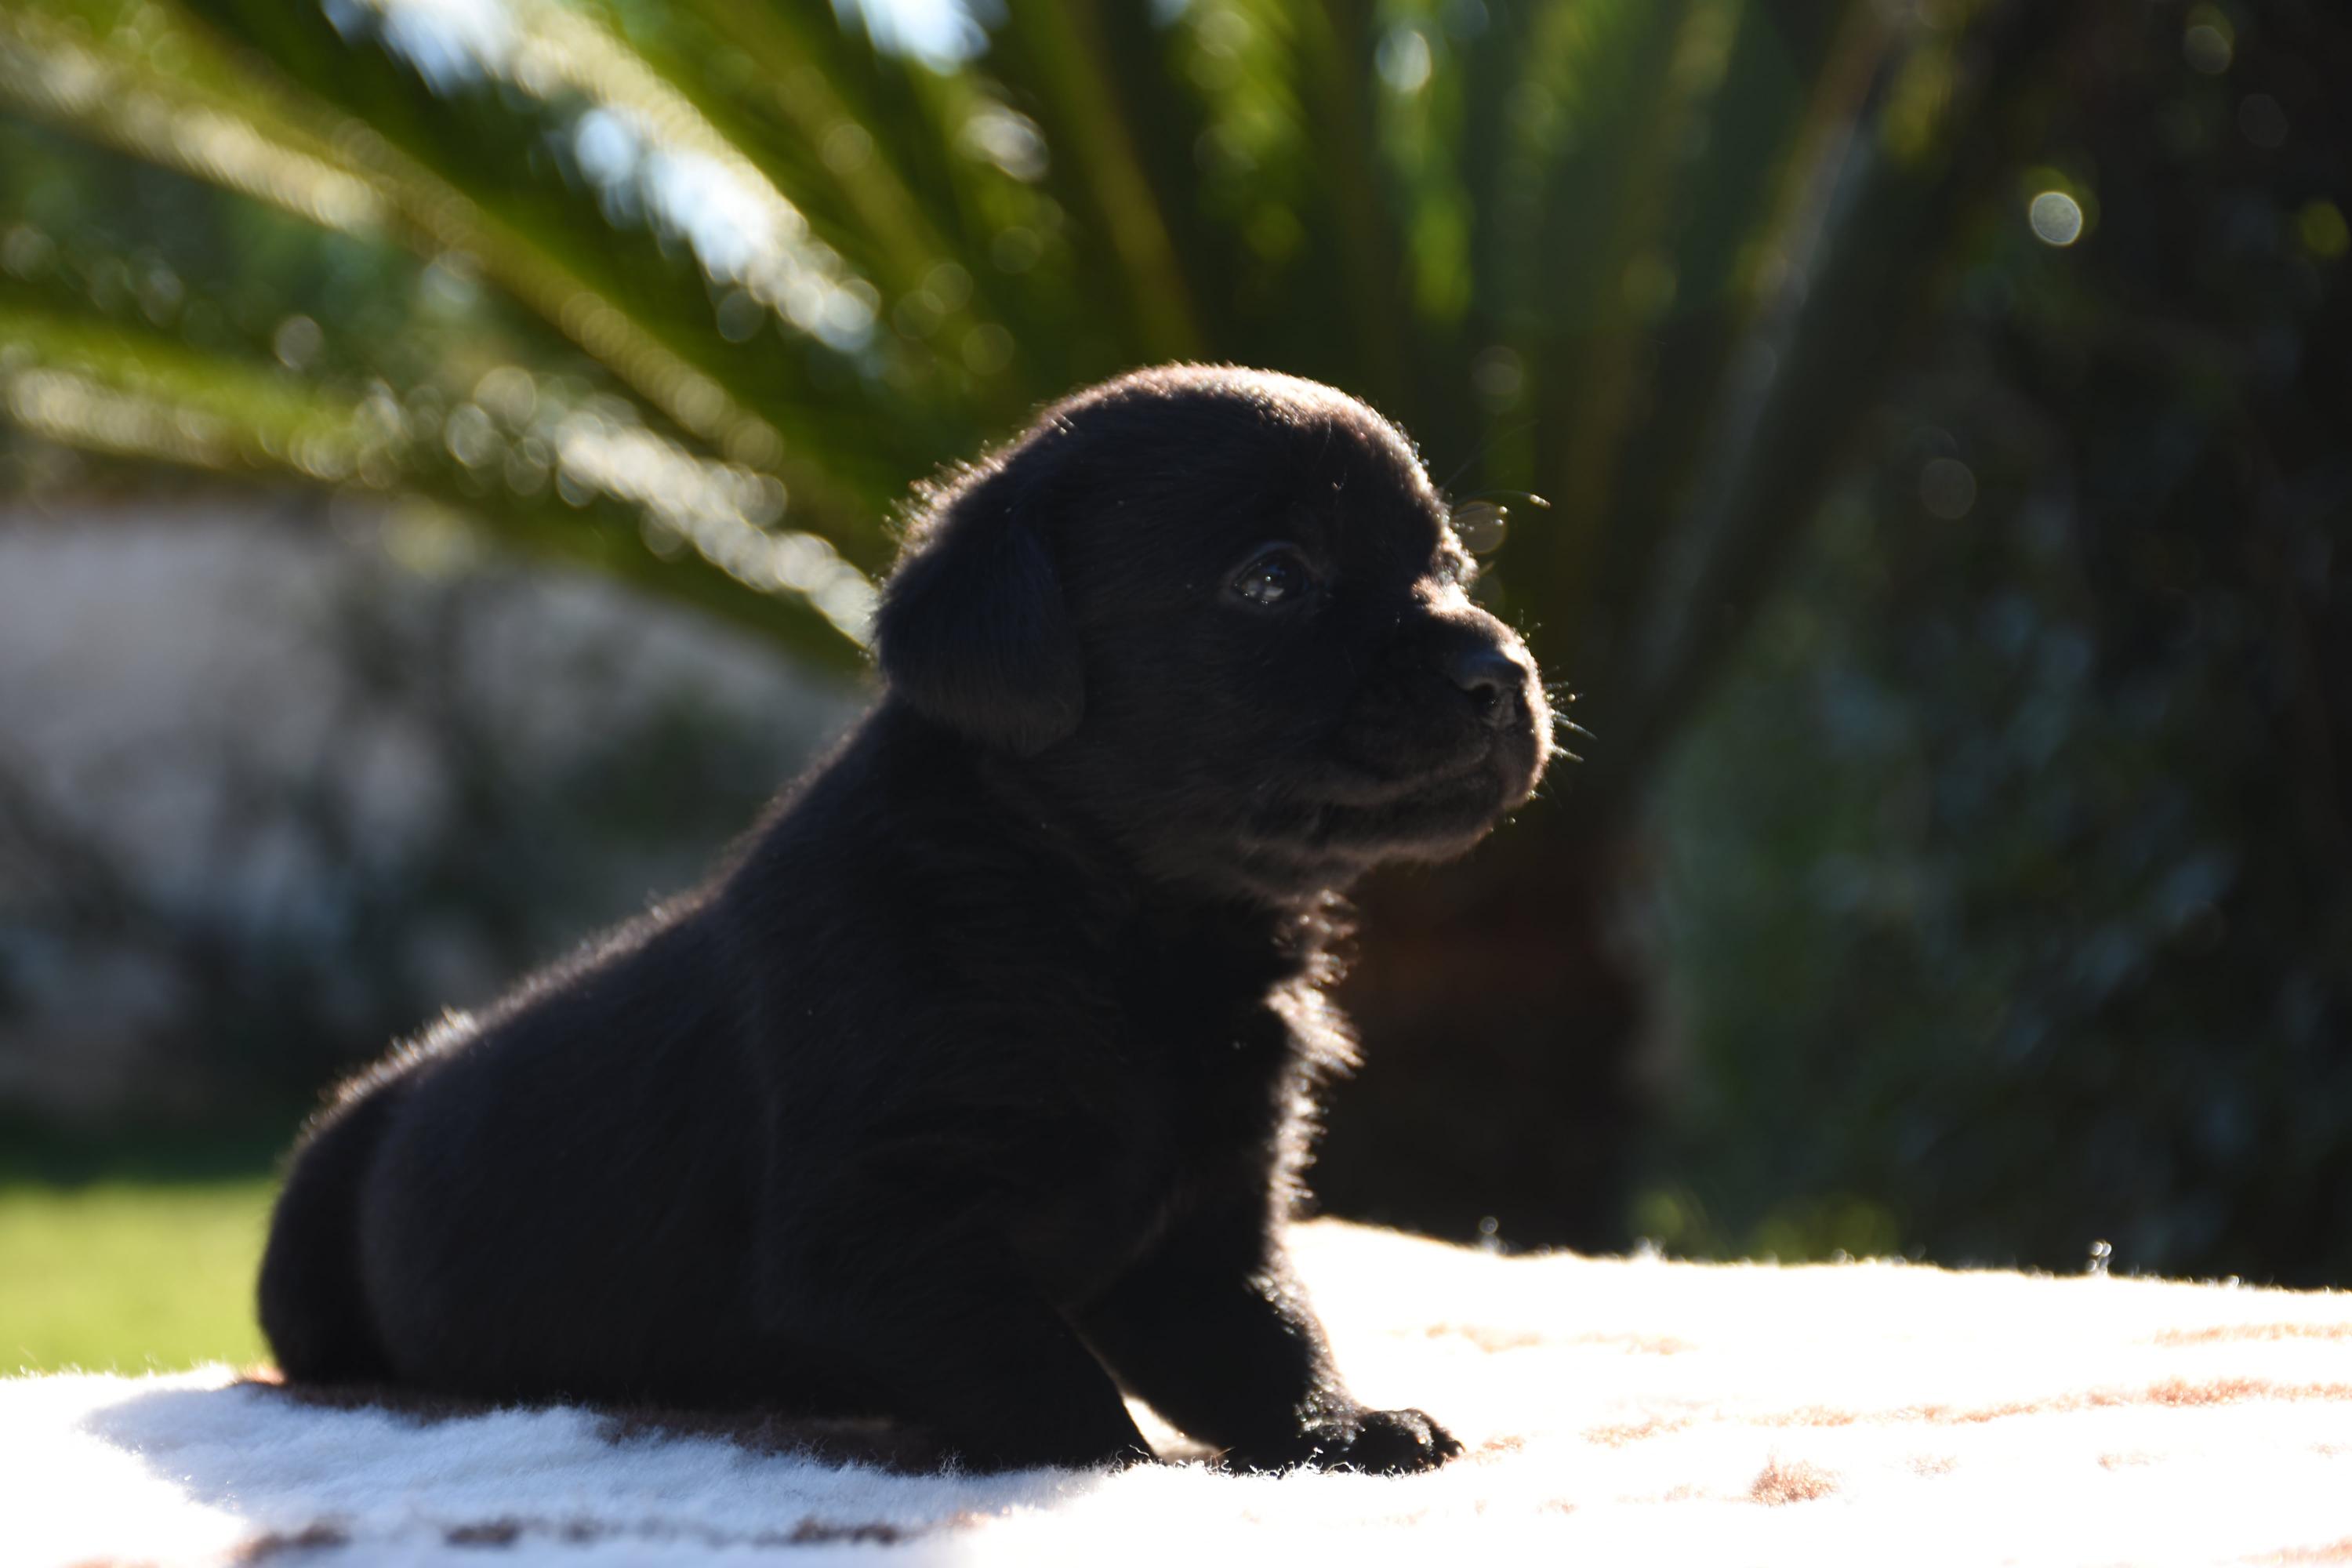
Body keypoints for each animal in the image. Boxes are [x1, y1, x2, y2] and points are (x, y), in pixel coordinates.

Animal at [257, 361, 1552, 1476]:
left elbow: (1268, 1337)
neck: (1108, 917)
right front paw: (1131, 1477)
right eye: (1274, 578)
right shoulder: (884, 1239)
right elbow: (1048, 1382)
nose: (1503, 672)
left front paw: (1341, 1431)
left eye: (1452, 565)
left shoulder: (1207, 1223)